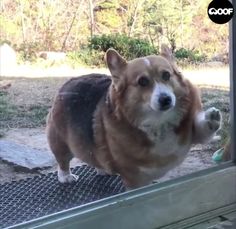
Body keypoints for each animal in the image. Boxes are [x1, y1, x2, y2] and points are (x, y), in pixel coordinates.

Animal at [47, 45, 222, 190]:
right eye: (142, 81)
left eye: (166, 75)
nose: (166, 99)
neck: (159, 122)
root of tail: (68, 82)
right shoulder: (134, 177)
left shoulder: (190, 135)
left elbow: (201, 130)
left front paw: (211, 120)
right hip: (62, 142)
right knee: (62, 160)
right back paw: (66, 176)